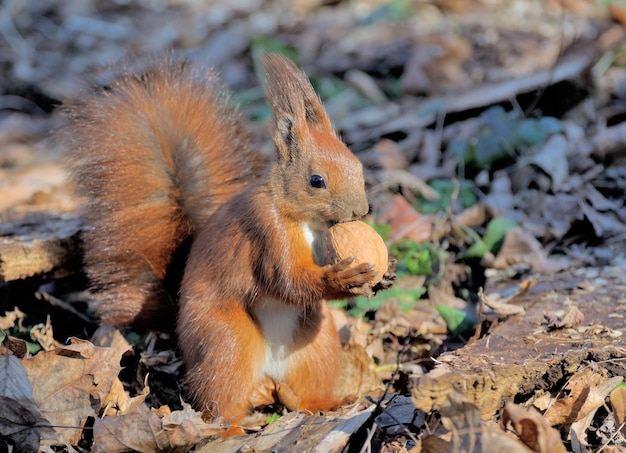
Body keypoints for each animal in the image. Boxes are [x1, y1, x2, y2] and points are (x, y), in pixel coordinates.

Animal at [62, 54, 376, 426]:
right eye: (317, 181)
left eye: (358, 166)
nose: (360, 211)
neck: (306, 221)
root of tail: (268, 377)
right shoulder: (266, 230)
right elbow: (287, 281)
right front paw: (342, 278)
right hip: (227, 341)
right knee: (220, 400)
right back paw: (234, 428)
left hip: (317, 345)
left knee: (304, 392)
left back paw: (324, 403)